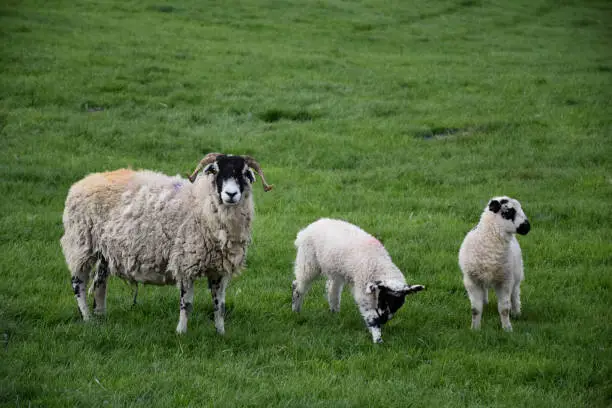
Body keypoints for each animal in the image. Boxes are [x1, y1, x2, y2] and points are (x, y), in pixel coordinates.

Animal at [60, 153, 272, 334]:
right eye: (216, 171)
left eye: (244, 174)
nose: (231, 194)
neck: (202, 203)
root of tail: (83, 181)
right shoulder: (185, 262)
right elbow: (186, 304)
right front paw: (181, 333)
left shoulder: (219, 269)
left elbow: (219, 305)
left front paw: (220, 333)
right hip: (81, 243)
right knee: (78, 283)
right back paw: (87, 318)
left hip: (105, 251)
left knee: (99, 283)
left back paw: (100, 316)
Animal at [292, 218, 426, 342]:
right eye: (384, 300)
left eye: (397, 305)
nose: (383, 320)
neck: (380, 265)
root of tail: (306, 229)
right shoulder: (363, 290)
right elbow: (371, 315)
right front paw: (378, 339)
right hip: (308, 261)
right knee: (298, 286)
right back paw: (296, 310)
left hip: (336, 269)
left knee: (331, 288)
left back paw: (334, 312)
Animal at [460, 195, 532, 332]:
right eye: (508, 212)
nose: (527, 227)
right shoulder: (472, 281)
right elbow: (475, 309)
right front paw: (475, 329)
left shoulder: (505, 281)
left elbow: (504, 309)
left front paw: (507, 329)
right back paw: (485, 302)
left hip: (517, 274)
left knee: (515, 294)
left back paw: (516, 312)